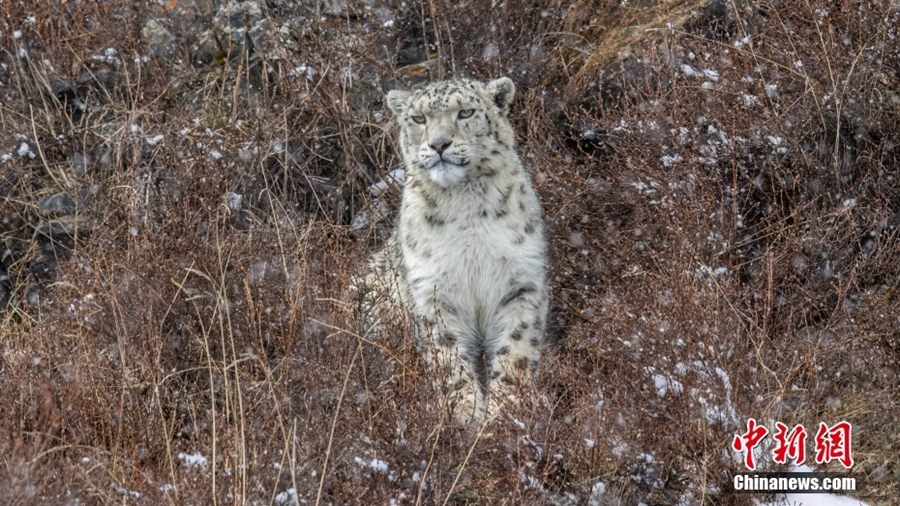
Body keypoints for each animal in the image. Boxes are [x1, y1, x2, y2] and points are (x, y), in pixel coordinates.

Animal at [360, 77, 548, 424]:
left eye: (466, 112)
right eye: (418, 118)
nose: (438, 144)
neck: (465, 206)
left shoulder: (521, 282)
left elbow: (516, 346)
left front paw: (507, 409)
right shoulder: (432, 292)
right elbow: (446, 354)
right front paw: (464, 412)